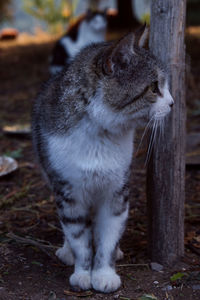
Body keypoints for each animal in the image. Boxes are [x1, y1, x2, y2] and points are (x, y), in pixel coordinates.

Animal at [31, 26, 173, 292]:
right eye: (153, 87)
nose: (172, 103)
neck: (101, 135)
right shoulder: (69, 191)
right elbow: (79, 237)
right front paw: (82, 272)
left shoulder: (116, 192)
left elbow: (108, 236)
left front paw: (105, 273)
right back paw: (66, 250)